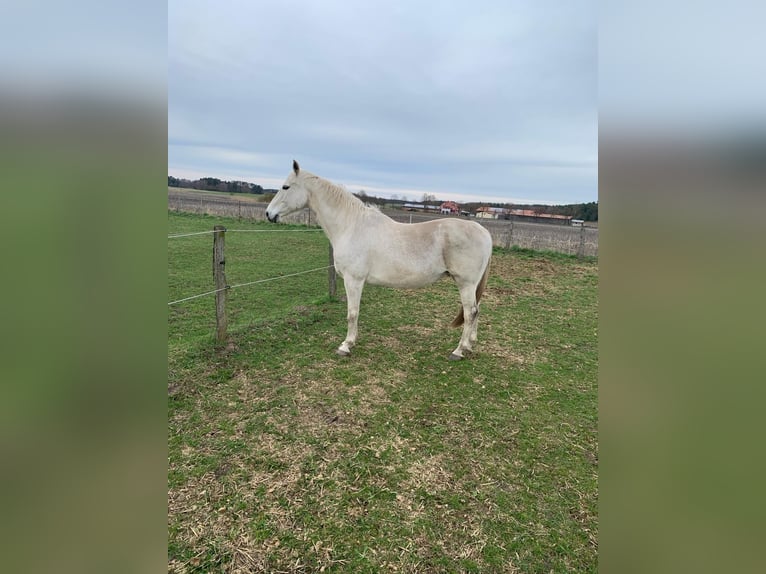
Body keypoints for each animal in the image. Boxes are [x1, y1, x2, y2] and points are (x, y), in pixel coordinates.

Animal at [268, 161, 496, 360]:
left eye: (286, 186)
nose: (269, 214)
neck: (351, 225)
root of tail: (483, 231)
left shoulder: (353, 280)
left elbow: (352, 313)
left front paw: (346, 345)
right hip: (471, 285)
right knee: (476, 311)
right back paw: (469, 345)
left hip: (466, 284)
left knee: (470, 313)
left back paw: (458, 351)